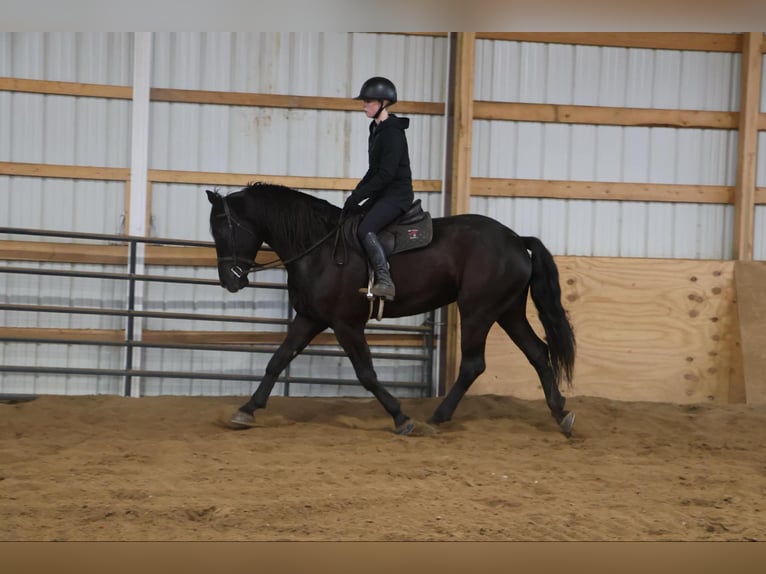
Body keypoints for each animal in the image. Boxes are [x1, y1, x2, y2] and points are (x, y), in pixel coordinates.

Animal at [206, 182, 576, 436]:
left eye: (225, 228)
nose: (230, 280)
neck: (319, 249)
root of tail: (516, 240)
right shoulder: (310, 318)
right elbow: (277, 360)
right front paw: (247, 410)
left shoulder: (345, 324)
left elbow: (366, 374)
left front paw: (401, 417)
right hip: (507, 310)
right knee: (537, 352)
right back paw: (561, 414)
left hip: (479, 311)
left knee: (474, 364)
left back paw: (438, 416)